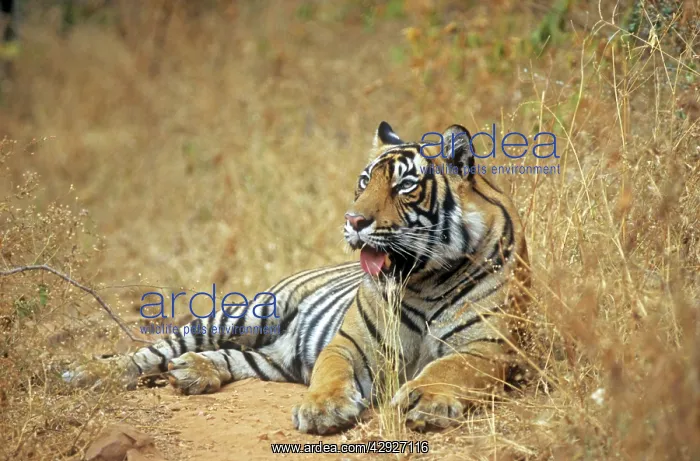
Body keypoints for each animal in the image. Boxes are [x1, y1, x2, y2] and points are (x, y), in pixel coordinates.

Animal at [65, 121, 531, 434]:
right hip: (244, 314)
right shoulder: (350, 343)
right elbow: (331, 372)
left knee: (236, 358)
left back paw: (193, 371)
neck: (422, 281)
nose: (353, 220)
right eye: (364, 182)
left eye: (404, 186)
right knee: (153, 350)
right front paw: (322, 409)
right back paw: (84, 372)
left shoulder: (489, 347)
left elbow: (451, 367)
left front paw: (427, 399)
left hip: (274, 356)